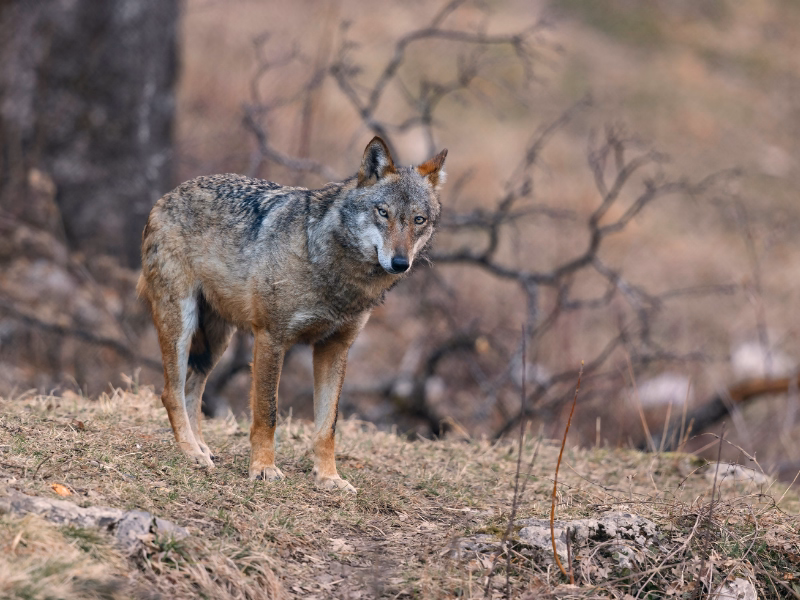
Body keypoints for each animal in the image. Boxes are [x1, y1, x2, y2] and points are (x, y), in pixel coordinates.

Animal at [138, 137, 446, 493]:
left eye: (418, 220)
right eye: (383, 213)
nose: (400, 263)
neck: (334, 271)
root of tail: (168, 195)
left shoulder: (334, 348)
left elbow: (328, 427)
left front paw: (329, 478)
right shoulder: (270, 338)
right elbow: (267, 414)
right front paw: (263, 469)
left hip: (215, 344)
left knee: (191, 390)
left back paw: (201, 448)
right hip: (182, 326)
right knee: (170, 393)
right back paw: (191, 454)